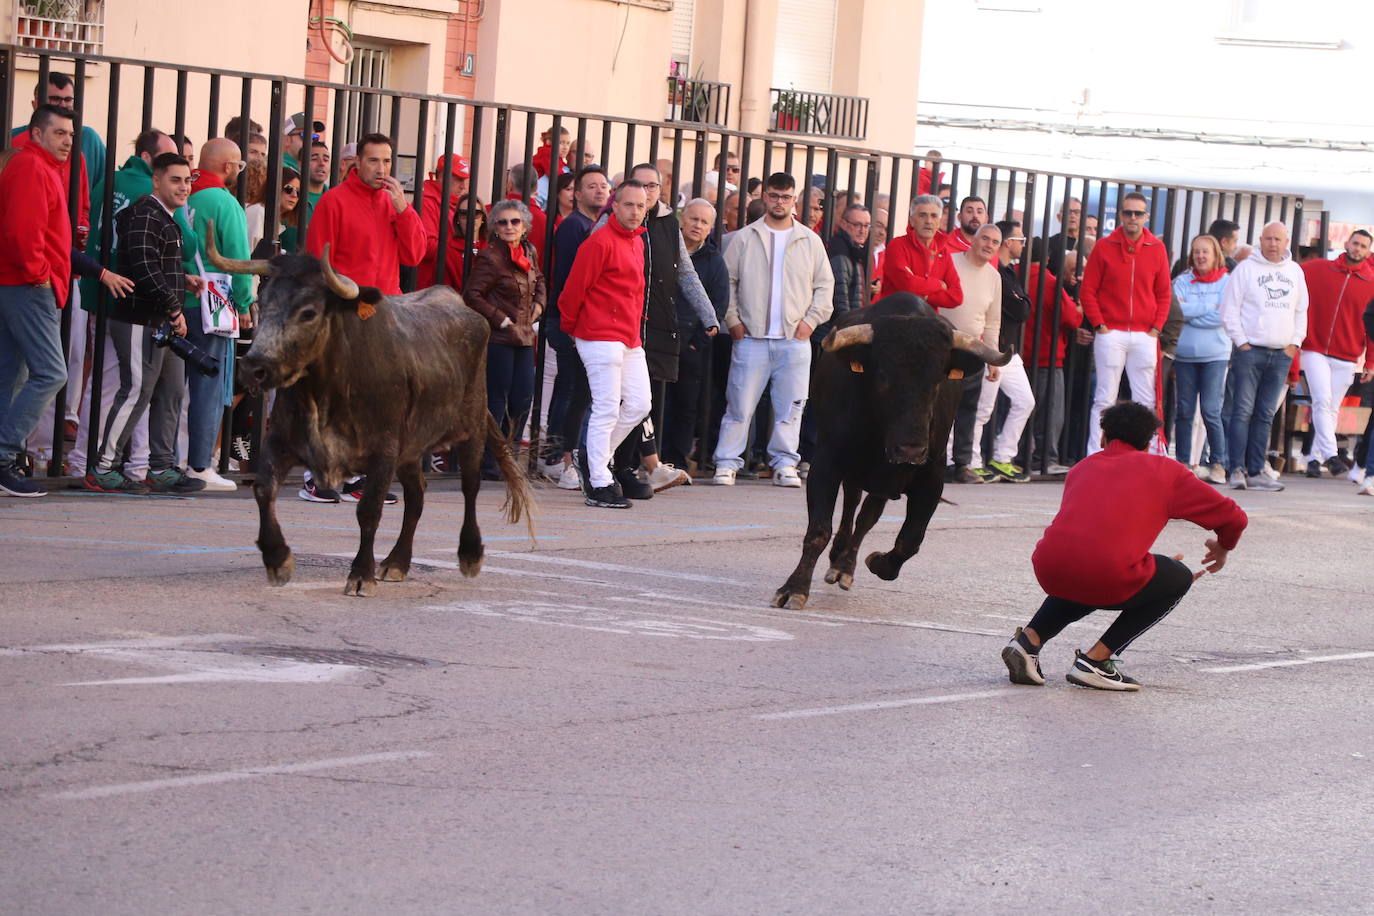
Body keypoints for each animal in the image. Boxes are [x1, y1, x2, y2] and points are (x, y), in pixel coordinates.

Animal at [206, 229, 533, 598]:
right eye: (263, 302)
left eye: (309, 312)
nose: (254, 367)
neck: (326, 389)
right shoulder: (282, 440)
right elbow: (263, 488)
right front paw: (277, 559)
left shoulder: (384, 450)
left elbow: (369, 510)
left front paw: (361, 573)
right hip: (412, 447)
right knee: (417, 496)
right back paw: (397, 562)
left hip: (472, 427)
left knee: (470, 486)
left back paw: (469, 553)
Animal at [774, 293, 1011, 609]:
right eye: (884, 377)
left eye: (938, 380)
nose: (910, 449)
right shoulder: (826, 464)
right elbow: (818, 530)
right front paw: (795, 588)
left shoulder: (931, 478)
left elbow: (910, 539)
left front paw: (877, 562)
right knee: (852, 506)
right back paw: (838, 558)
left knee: (866, 516)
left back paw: (845, 565)